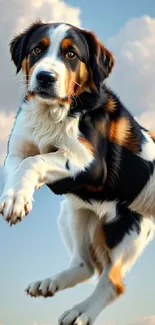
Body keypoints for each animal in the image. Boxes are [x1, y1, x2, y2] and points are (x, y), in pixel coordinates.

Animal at [0, 20, 154, 324]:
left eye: (71, 54)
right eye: (37, 49)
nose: (45, 77)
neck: (51, 114)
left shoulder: (89, 163)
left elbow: (36, 161)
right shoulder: (17, 151)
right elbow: (20, 168)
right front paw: (15, 200)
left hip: (129, 231)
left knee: (111, 283)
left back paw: (80, 314)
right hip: (74, 212)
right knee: (85, 264)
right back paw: (49, 284)